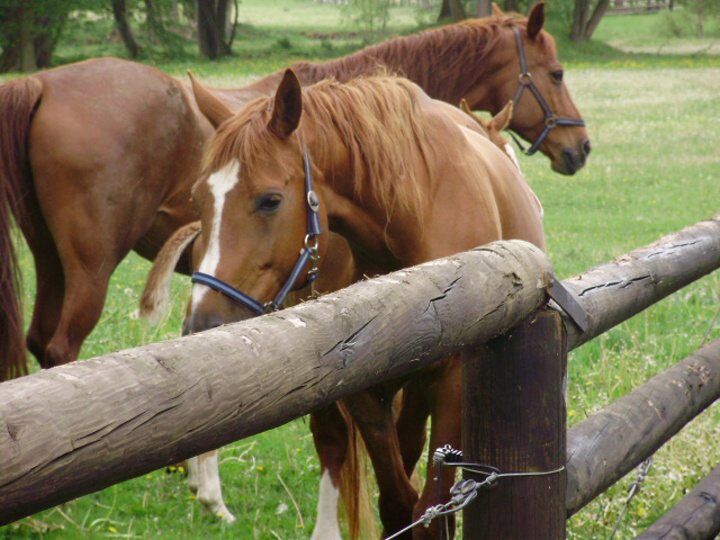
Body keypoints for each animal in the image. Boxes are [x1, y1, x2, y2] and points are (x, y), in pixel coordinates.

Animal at [0, 2, 587, 382]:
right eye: (557, 73)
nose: (580, 147)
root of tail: (42, 82)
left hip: (52, 260)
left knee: (39, 342)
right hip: (90, 268)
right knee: (61, 346)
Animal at [142, 66, 545, 538]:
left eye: (270, 200)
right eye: (199, 200)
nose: (202, 325)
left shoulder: (451, 385)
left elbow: (428, 510)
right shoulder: (364, 391)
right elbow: (397, 500)